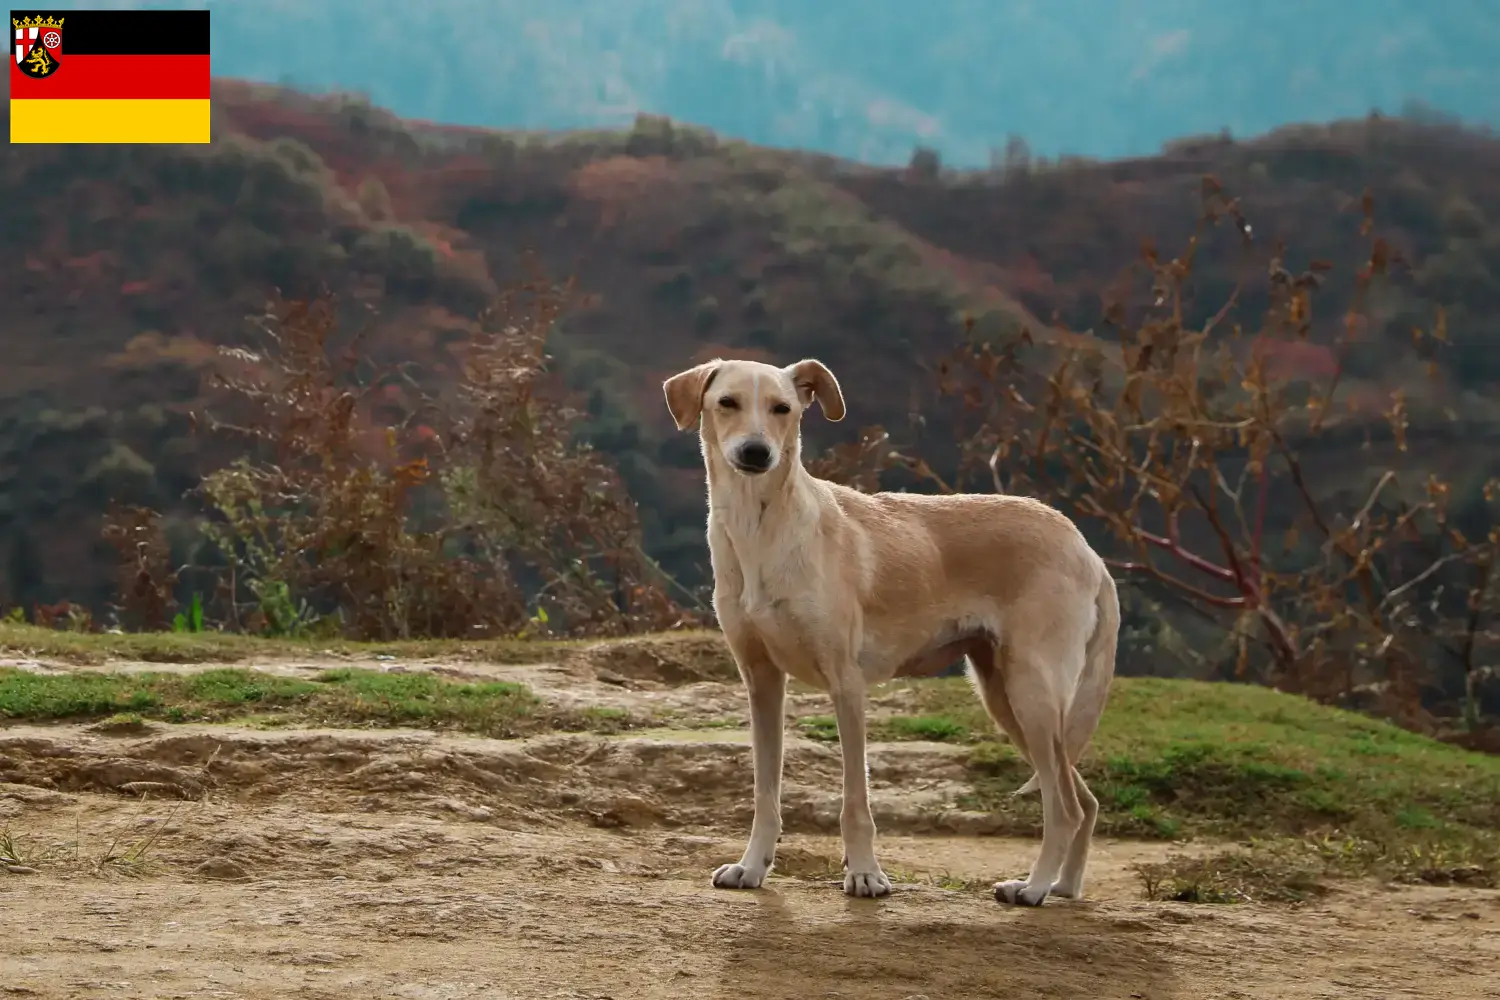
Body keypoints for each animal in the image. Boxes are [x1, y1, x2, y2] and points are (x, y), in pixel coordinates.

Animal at [663, 355, 1122, 905]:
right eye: (726, 403)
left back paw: (1032, 888)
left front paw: (865, 874)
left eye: (782, 409)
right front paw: (753, 867)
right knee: (1085, 801)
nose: (757, 452)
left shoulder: (847, 685)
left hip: (1032, 693)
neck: (763, 529)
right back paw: (1064, 888)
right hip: (1006, 698)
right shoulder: (762, 683)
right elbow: (765, 793)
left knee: (1066, 806)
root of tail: (1086, 548)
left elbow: (855, 802)